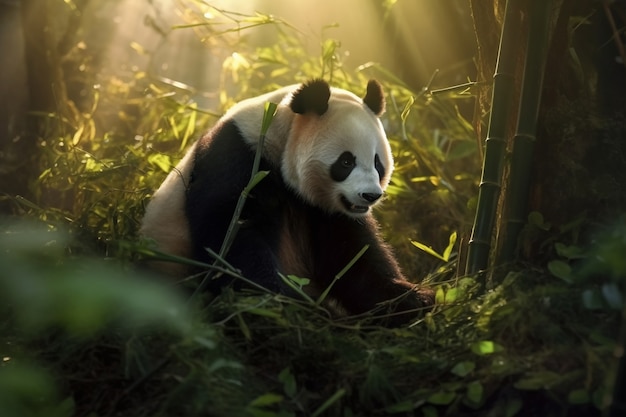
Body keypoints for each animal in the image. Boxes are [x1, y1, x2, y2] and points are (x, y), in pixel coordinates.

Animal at [140, 79, 434, 324]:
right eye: (346, 162)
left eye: (377, 162)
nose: (370, 195)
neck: (277, 135)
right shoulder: (236, 160)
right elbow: (231, 235)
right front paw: (283, 303)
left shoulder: (324, 209)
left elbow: (352, 259)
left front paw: (413, 299)